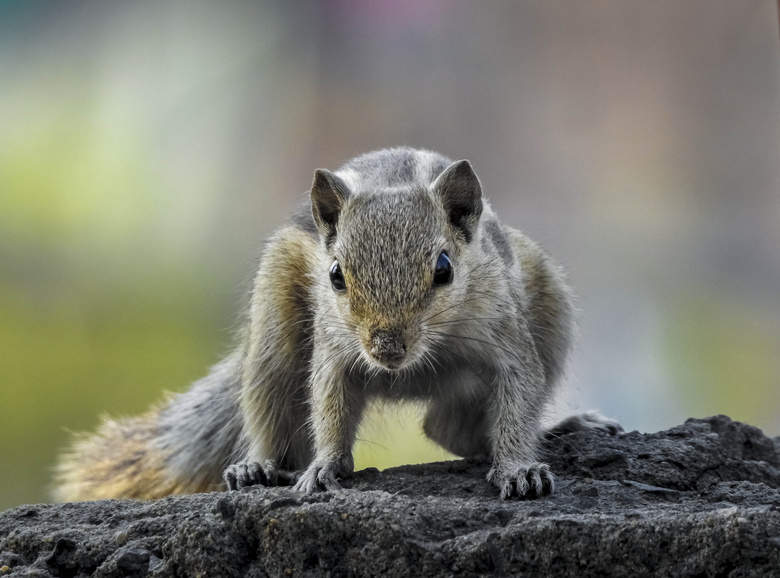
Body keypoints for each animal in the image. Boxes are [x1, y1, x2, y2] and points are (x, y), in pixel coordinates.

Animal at [53, 147, 620, 500]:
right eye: (335, 275)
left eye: (444, 269)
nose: (386, 349)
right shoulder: (334, 349)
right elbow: (327, 404)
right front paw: (325, 465)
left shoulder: (507, 338)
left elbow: (518, 399)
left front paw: (520, 469)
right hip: (274, 326)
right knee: (272, 405)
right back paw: (258, 465)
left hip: (550, 306)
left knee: (447, 427)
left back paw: (564, 427)